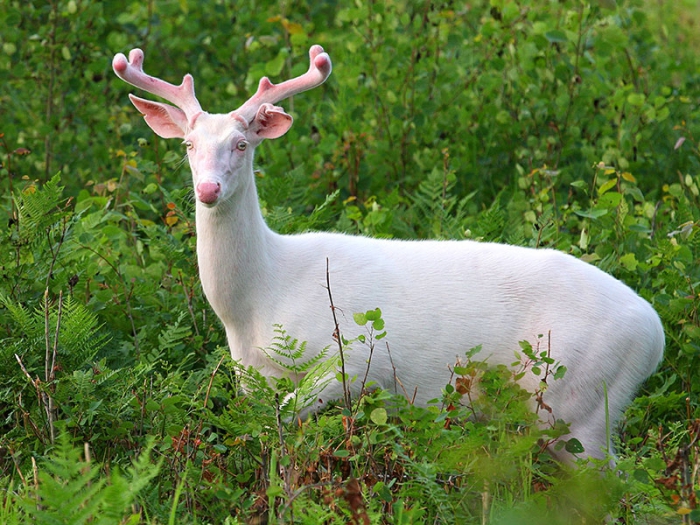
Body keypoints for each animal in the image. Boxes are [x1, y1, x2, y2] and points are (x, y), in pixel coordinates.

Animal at [112, 46, 664, 462]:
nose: (207, 189)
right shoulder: (251, 379)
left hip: (580, 405)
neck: (258, 301)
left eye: (242, 143)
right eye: (188, 144)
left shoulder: (353, 360)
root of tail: (654, 336)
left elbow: (285, 421)